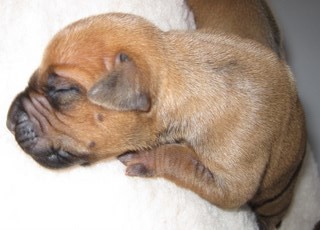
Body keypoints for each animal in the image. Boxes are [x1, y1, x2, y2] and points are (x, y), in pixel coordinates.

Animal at [6, 4, 304, 230]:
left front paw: (148, 156)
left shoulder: (233, 182)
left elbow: (183, 159)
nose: (9, 119)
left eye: (62, 90)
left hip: (275, 195)